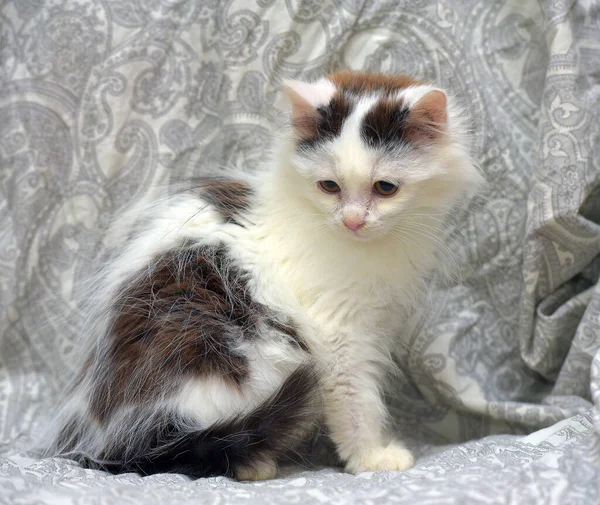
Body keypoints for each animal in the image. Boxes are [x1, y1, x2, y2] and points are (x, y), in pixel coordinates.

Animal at [47, 71, 480, 480]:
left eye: (385, 188)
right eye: (329, 186)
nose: (353, 221)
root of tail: (101, 432)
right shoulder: (336, 334)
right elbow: (356, 400)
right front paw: (371, 457)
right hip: (227, 354)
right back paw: (251, 462)